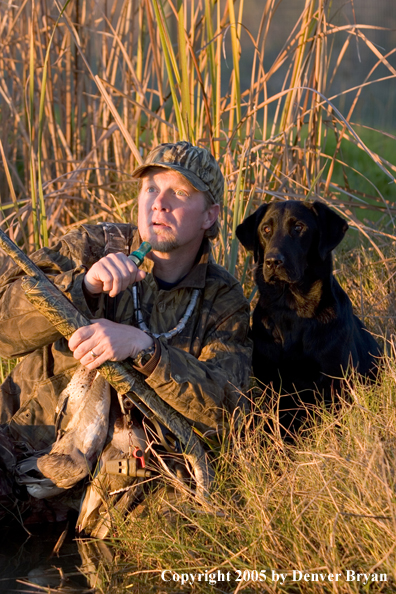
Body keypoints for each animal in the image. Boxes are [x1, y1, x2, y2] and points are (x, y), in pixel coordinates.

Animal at [235, 201, 380, 428]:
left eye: (298, 228)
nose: (272, 261)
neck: (292, 311)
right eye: (265, 229)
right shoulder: (271, 383)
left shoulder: (335, 382)